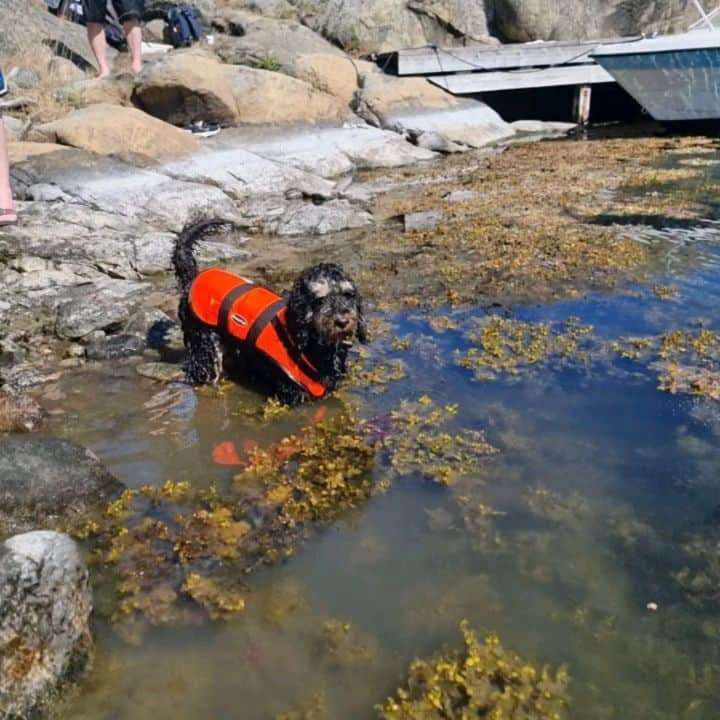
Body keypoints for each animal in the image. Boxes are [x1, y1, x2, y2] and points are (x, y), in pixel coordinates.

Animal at [172, 219, 368, 404]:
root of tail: (193, 277)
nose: (342, 322)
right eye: (320, 300)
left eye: (348, 295)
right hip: (204, 349)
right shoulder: (291, 392)